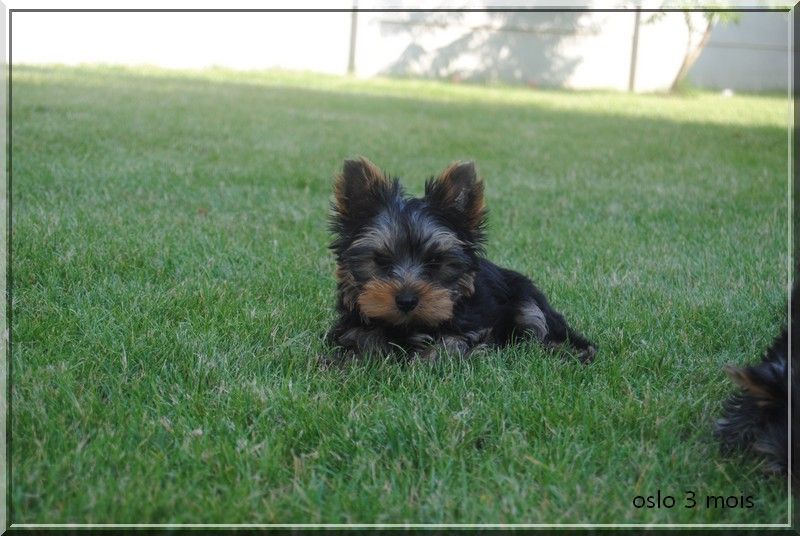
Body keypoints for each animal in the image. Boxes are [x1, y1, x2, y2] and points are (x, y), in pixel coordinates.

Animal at [323, 157, 596, 363]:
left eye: (435, 260)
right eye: (380, 260)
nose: (406, 301)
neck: (409, 327)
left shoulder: (475, 329)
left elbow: (450, 346)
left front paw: (424, 361)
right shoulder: (351, 326)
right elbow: (361, 340)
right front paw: (350, 360)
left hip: (527, 300)